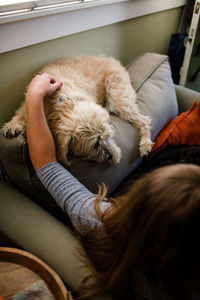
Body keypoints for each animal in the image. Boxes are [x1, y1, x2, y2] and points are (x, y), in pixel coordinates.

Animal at [1, 55, 153, 165]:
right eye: (95, 144)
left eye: (108, 136)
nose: (111, 156)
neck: (61, 100)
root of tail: (115, 61)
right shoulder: (31, 98)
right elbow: (21, 113)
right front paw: (12, 125)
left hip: (117, 98)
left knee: (144, 120)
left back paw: (145, 144)